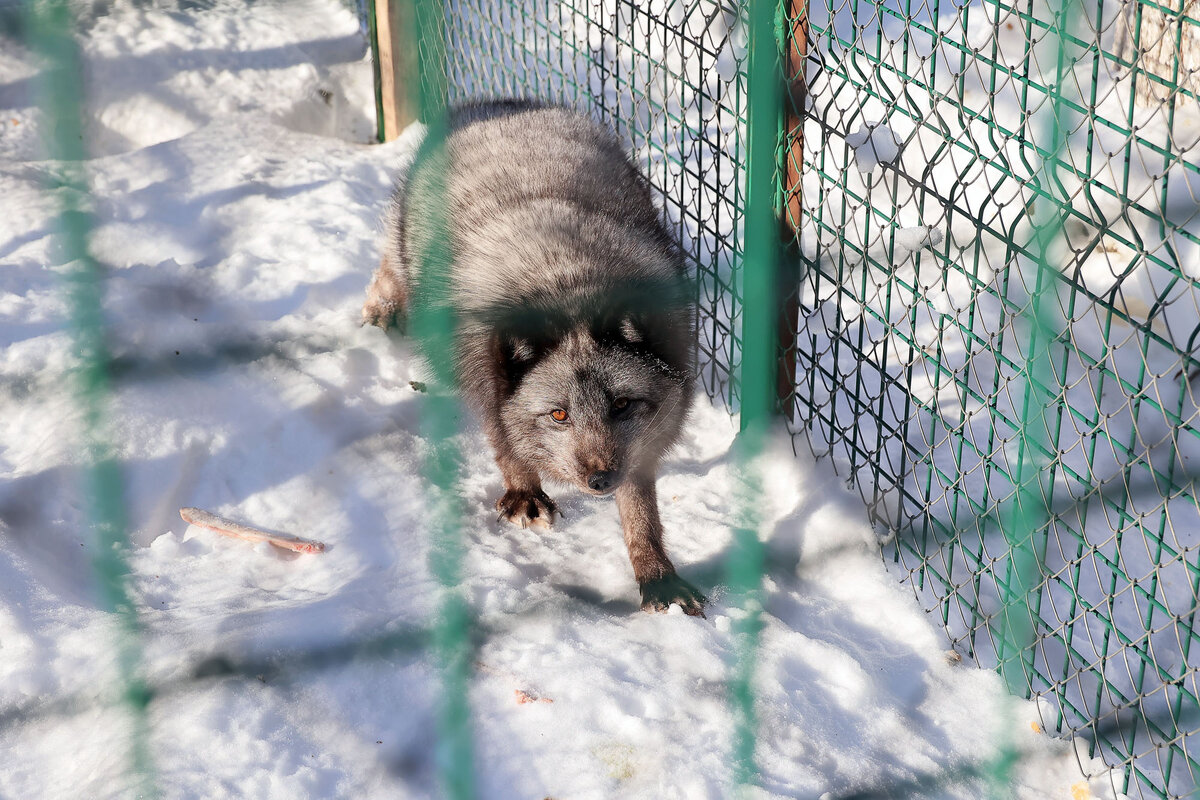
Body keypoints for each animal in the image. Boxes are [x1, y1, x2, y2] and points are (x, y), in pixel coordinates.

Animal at [362, 100, 700, 618]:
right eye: (558, 415)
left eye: (622, 405)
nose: (600, 479)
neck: (572, 286)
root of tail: (496, 104)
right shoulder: (485, 376)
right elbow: (503, 438)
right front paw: (525, 493)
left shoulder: (643, 442)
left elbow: (641, 506)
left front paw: (657, 573)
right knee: (389, 266)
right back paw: (381, 310)